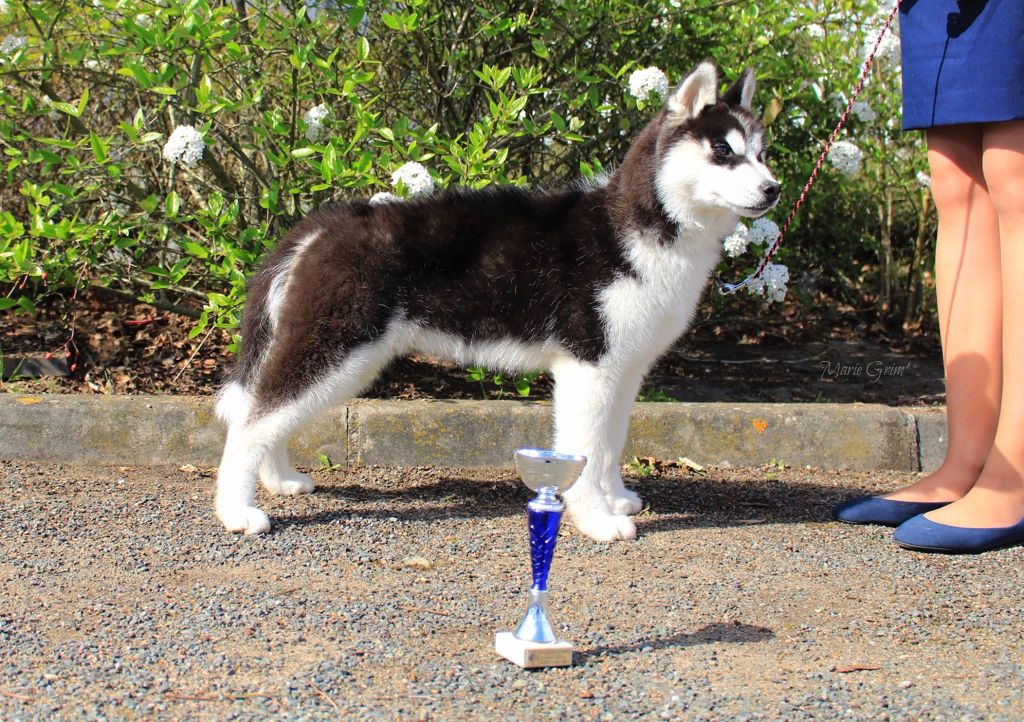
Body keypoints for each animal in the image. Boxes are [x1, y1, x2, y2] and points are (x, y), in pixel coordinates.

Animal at [211, 63, 778, 540]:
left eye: (760, 153)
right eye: (722, 151)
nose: (773, 189)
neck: (646, 223)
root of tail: (321, 224)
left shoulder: (624, 367)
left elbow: (611, 442)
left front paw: (614, 498)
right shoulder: (588, 365)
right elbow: (587, 448)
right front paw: (596, 519)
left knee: (268, 414)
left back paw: (279, 477)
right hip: (337, 347)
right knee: (253, 420)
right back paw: (237, 510)